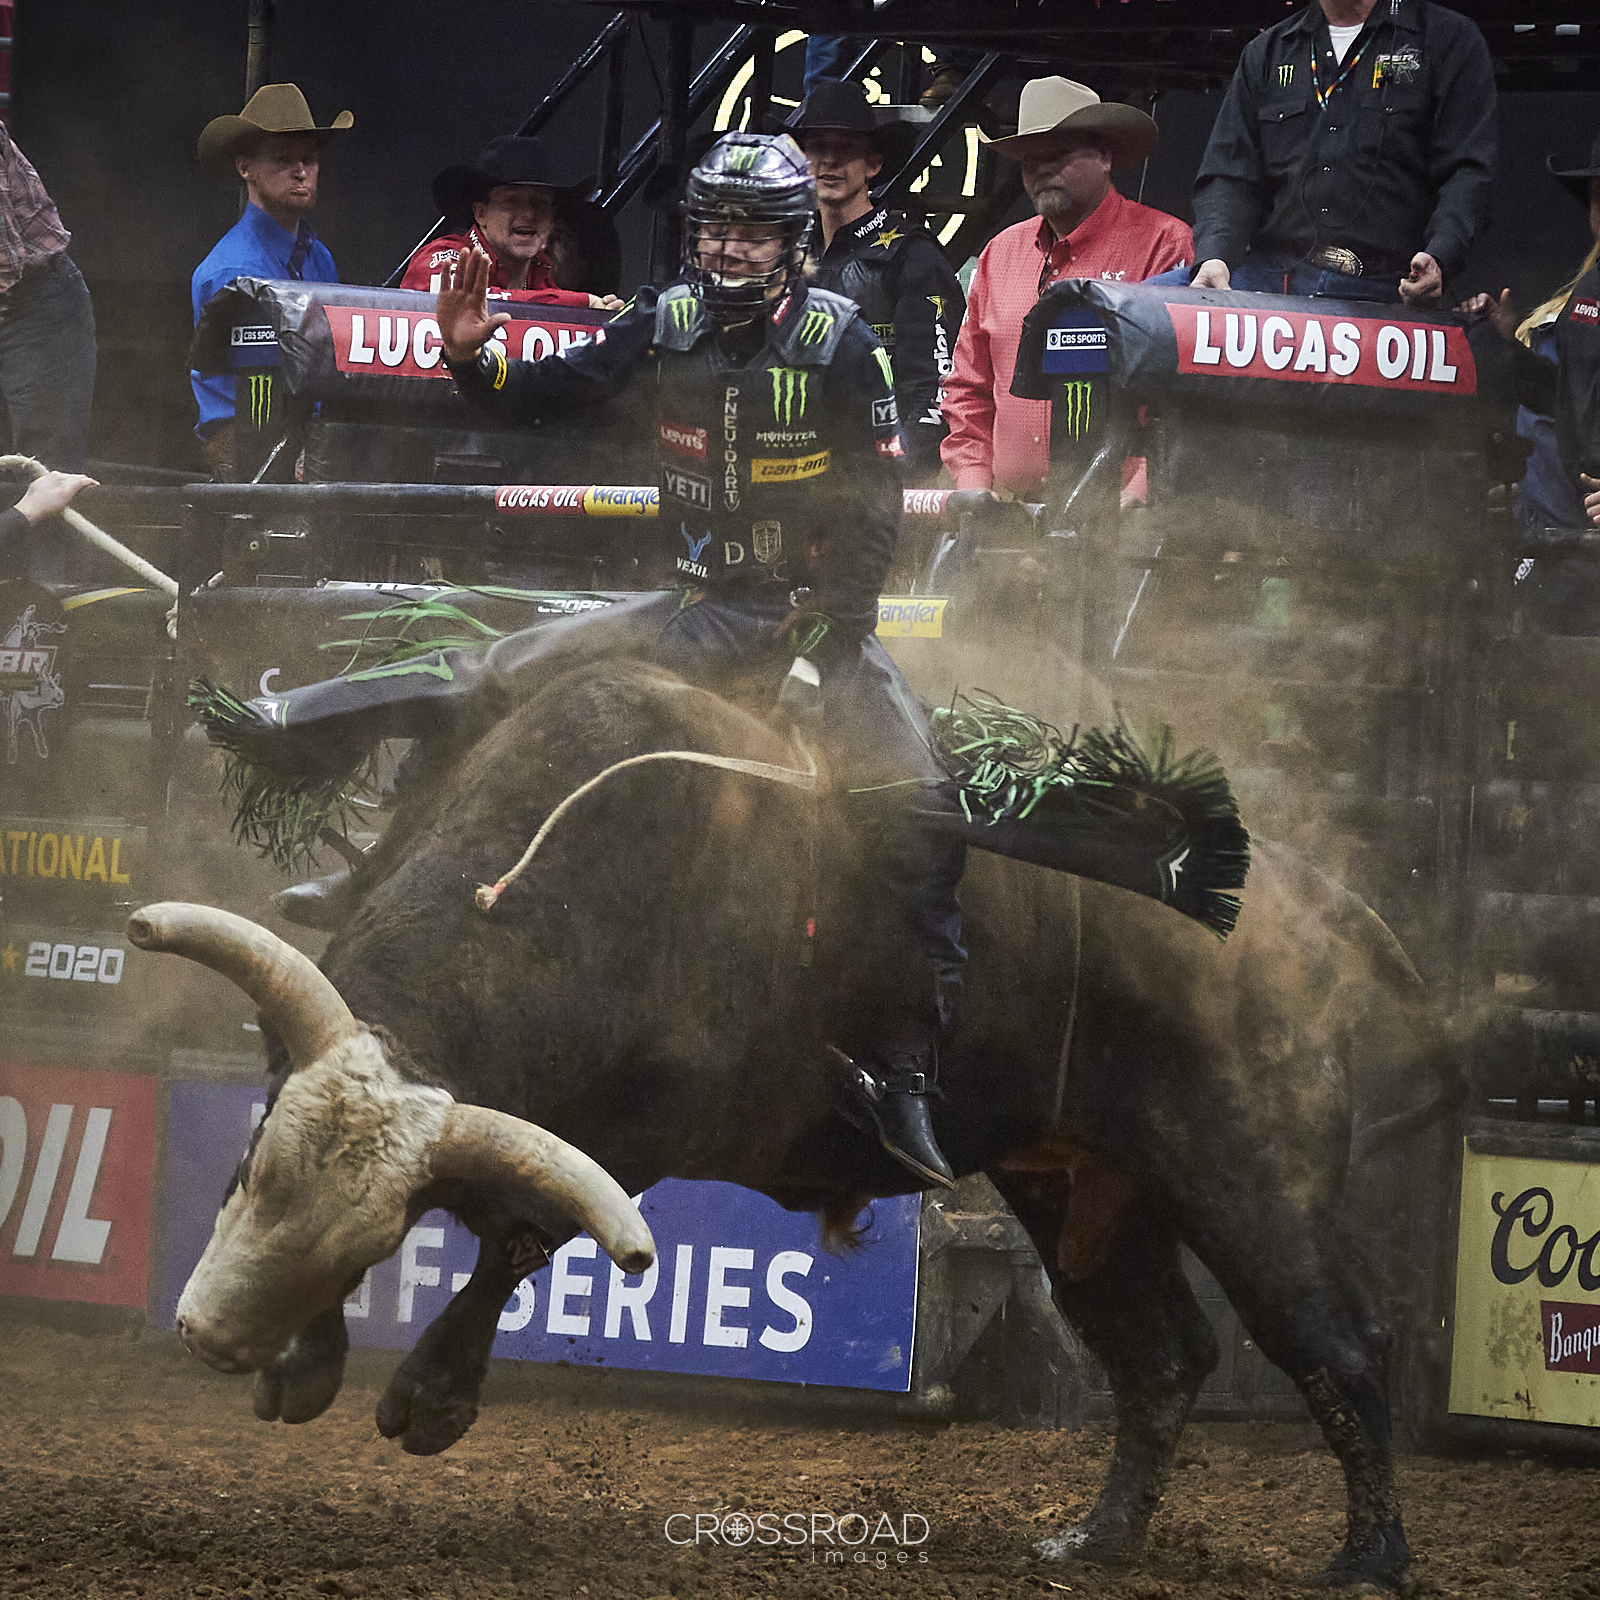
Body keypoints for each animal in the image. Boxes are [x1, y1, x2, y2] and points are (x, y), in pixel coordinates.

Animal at [139, 658, 1458, 1593]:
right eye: (249, 1166)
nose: (208, 1333)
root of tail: (1310, 914)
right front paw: (305, 1360)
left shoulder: (647, 1129)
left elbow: (519, 1233)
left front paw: (429, 1398)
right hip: (1085, 1188)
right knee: (1162, 1352)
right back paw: (1097, 1541)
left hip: (1252, 1176)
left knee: (1333, 1340)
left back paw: (1367, 1558)